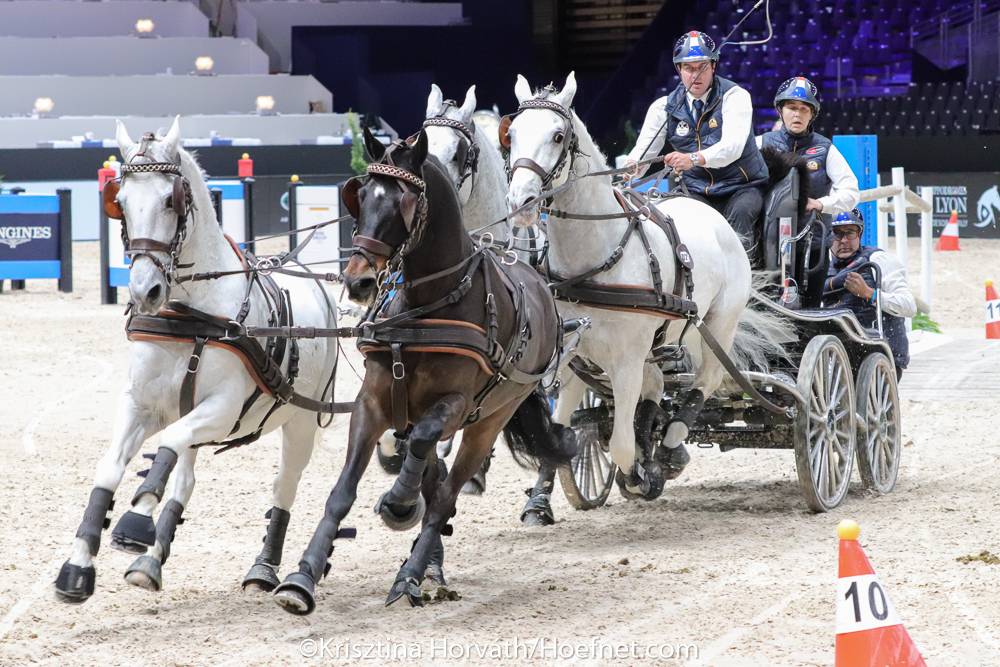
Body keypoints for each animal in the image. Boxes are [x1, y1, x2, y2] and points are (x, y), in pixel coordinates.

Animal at [54, 117, 343, 603]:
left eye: (171, 199)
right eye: (120, 202)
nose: (144, 291)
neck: (192, 316)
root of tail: (312, 279)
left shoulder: (222, 410)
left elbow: (167, 445)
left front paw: (137, 517)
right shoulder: (142, 404)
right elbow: (111, 467)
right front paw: (77, 566)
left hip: (300, 421)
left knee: (283, 486)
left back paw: (265, 569)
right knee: (186, 478)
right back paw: (150, 563)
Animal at [270, 128, 575, 614]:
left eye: (404, 203)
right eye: (361, 197)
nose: (358, 280)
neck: (429, 303)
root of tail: (538, 284)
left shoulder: (456, 405)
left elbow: (424, 448)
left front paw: (398, 501)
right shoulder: (372, 403)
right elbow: (342, 493)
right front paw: (303, 577)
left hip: (489, 420)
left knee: (444, 496)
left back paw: (410, 574)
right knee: (434, 485)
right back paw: (428, 566)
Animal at [502, 73, 787, 520]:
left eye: (558, 135)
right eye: (511, 134)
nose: (521, 202)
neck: (596, 257)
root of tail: (715, 219)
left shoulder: (624, 361)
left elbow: (620, 445)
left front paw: (640, 474)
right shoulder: (573, 357)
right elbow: (561, 432)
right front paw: (539, 503)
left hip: (716, 326)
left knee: (703, 382)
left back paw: (667, 451)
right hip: (657, 345)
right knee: (655, 388)